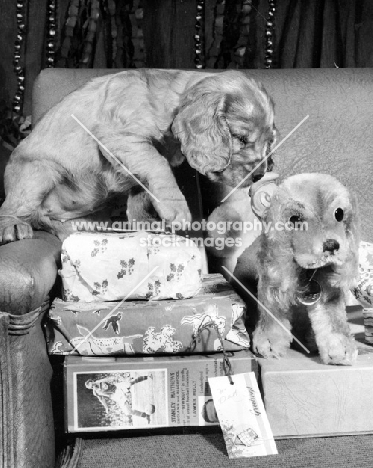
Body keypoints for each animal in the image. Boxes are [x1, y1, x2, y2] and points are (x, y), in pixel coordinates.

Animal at [0, 70, 274, 245]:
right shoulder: (119, 137)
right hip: (38, 173)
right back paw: (13, 226)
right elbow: (159, 165)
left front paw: (146, 225)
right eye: (240, 138)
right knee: (17, 209)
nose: (261, 175)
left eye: (269, 140)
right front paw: (176, 209)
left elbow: (141, 194)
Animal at [248, 173, 358, 366]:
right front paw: (268, 344)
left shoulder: (328, 295)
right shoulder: (272, 288)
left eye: (339, 213)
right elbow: (272, 315)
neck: (305, 273)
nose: (331, 245)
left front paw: (341, 349)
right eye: (294, 219)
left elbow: (332, 321)